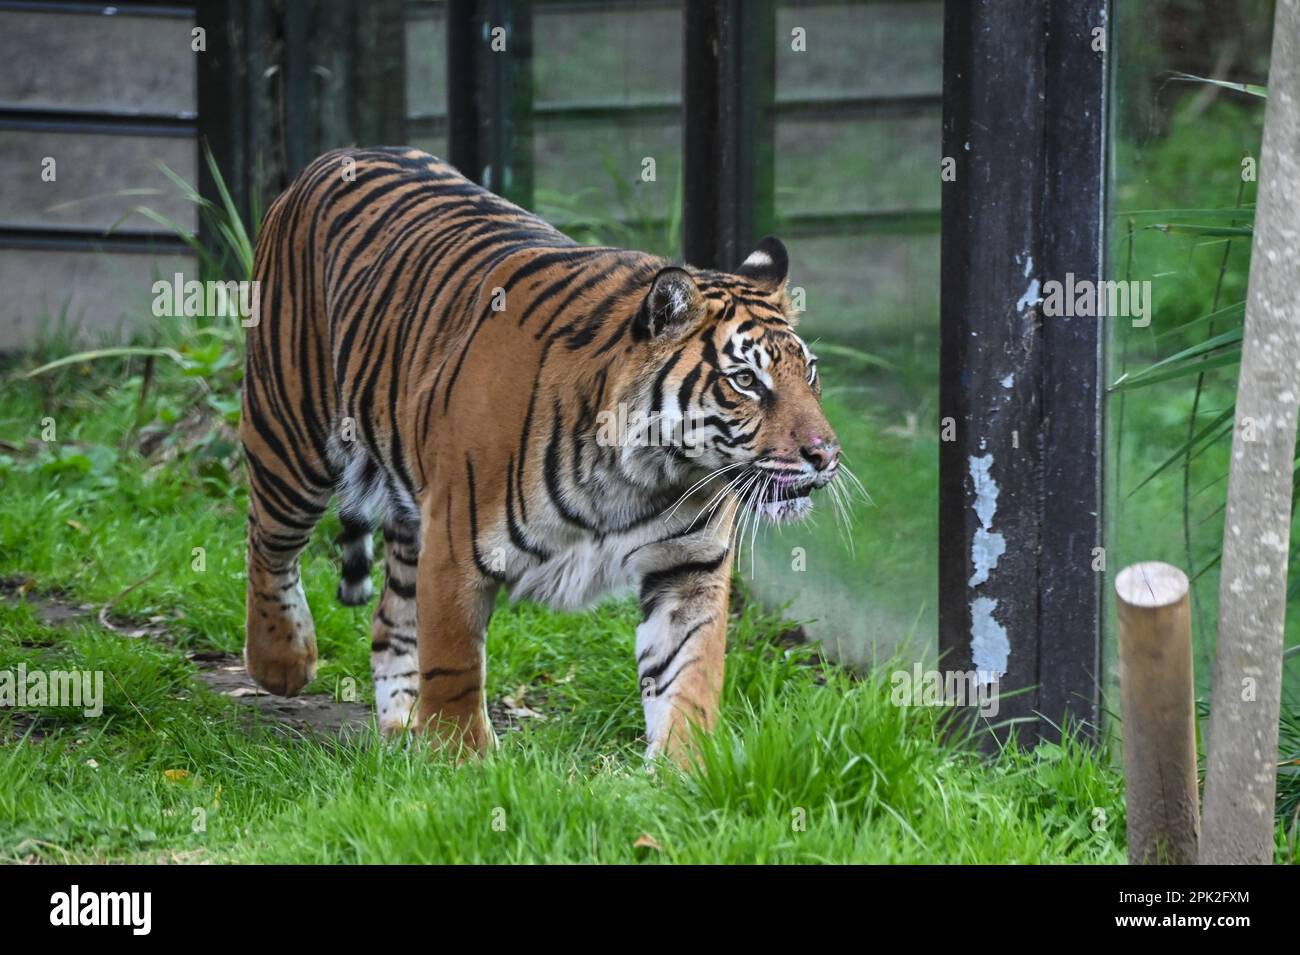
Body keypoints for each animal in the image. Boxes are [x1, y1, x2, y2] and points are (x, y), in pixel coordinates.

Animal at [243, 147, 842, 764]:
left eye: (809, 374)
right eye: (745, 380)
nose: (826, 454)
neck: (645, 474)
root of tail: (341, 154)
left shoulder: (689, 568)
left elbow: (690, 678)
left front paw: (684, 770)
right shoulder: (455, 548)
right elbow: (455, 669)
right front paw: (463, 764)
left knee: (390, 619)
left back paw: (403, 727)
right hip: (288, 434)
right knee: (268, 545)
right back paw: (282, 662)